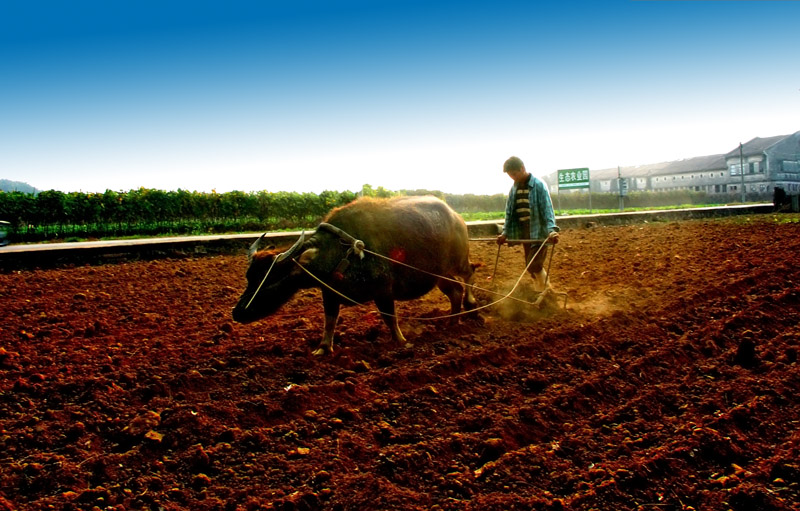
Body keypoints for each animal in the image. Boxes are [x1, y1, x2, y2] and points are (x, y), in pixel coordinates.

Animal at [231, 196, 476, 356]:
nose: (238, 312)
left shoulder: (383, 291)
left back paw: (471, 304)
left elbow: (390, 317)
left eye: (272, 277)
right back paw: (452, 320)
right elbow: (330, 320)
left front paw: (400, 341)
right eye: (249, 277)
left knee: (469, 274)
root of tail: (457, 218)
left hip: (458, 262)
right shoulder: (329, 294)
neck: (340, 251)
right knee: (455, 291)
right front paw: (323, 348)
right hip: (439, 274)